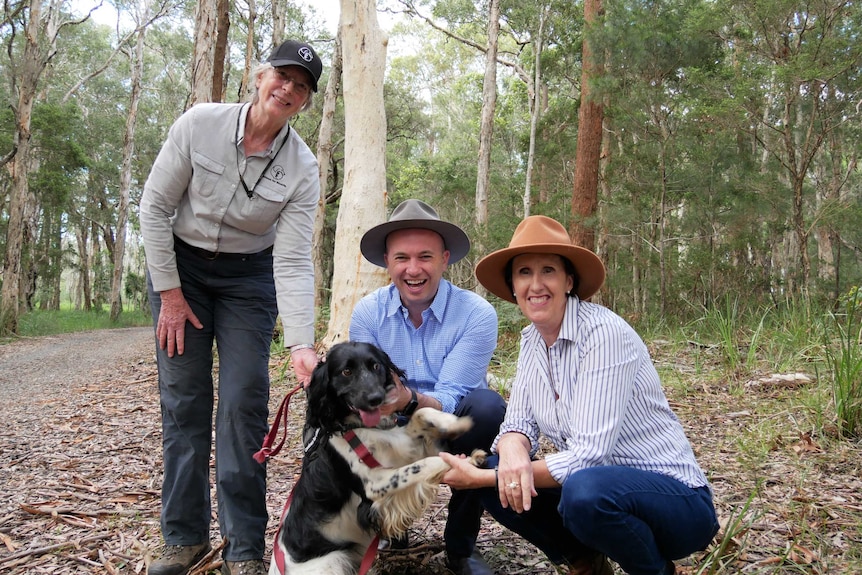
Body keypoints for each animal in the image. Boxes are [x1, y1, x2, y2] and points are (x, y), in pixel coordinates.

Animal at [270, 344, 482, 572]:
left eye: (376, 366)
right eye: (346, 372)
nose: (376, 398)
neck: (361, 427)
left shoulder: (404, 443)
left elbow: (421, 412)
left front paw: (456, 423)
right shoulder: (375, 485)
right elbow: (423, 465)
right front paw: (461, 462)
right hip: (334, 560)